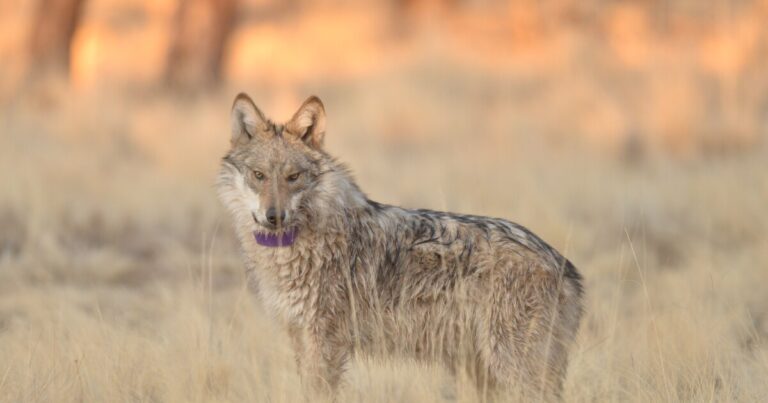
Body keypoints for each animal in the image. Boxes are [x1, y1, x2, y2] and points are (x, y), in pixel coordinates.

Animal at [217, 93, 583, 401]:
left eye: (293, 177)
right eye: (259, 175)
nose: (273, 217)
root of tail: (566, 267)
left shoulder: (324, 342)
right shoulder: (300, 337)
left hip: (512, 369)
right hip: (480, 370)